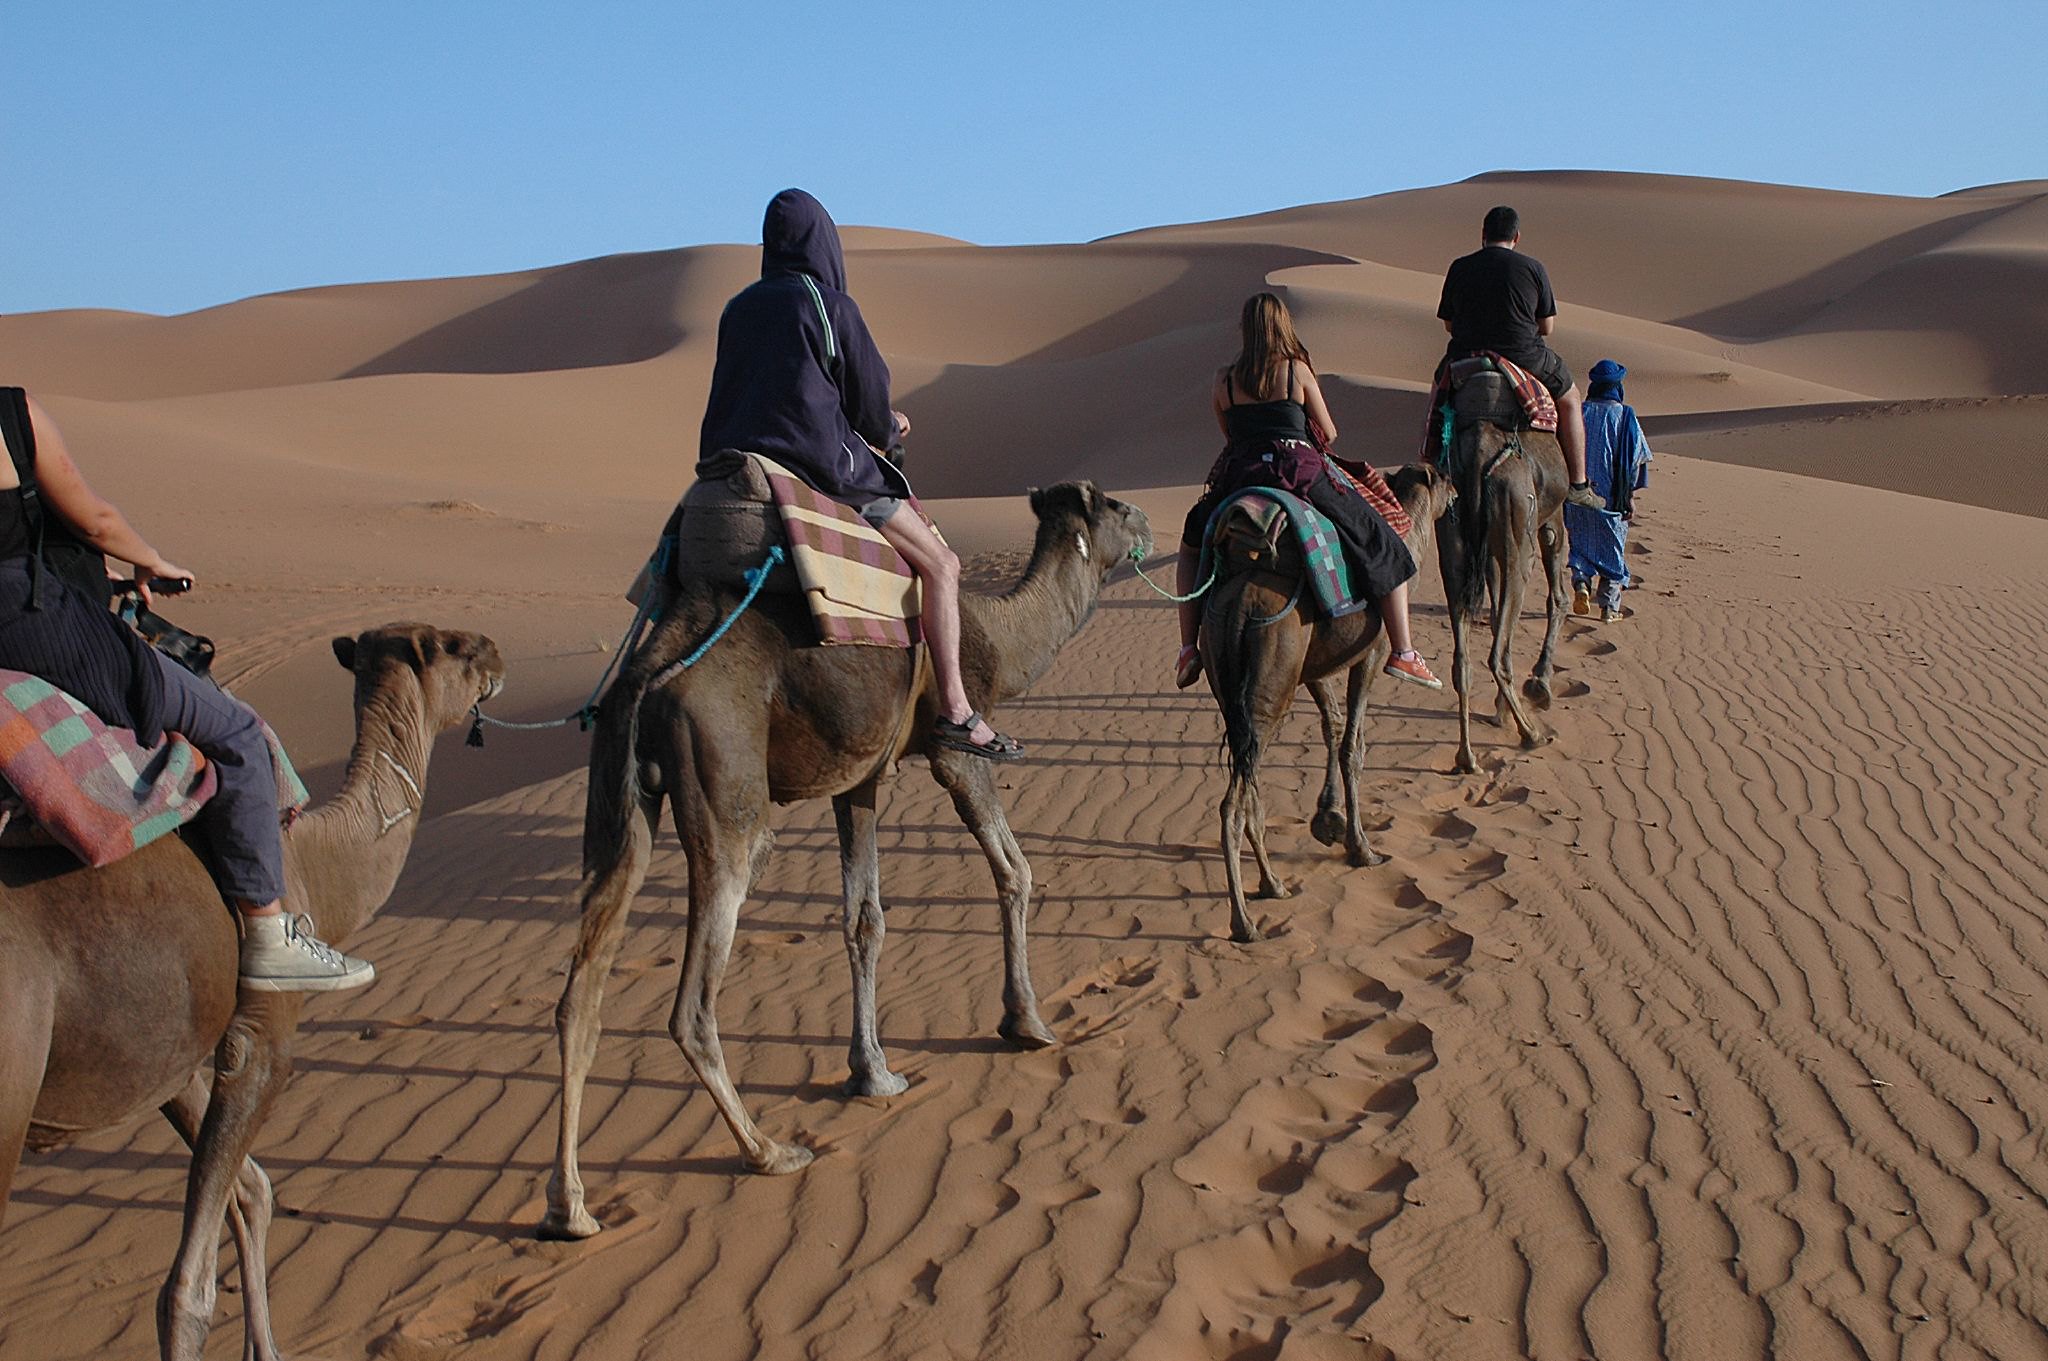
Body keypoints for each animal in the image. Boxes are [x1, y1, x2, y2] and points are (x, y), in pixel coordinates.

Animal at [0, 623, 505, 1361]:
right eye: (454, 646)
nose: (497, 653)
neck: (314, 865)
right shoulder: (261, 1034)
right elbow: (187, 1290)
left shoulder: (177, 1060)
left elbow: (253, 1191)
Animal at [540, 481, 1151, 1237]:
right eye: (1118, 506)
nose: (1151, 525)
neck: (1000, 637)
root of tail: (653, 675)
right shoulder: (953, 750)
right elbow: (1015, 871)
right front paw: (1027, 1023)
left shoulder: (859, 775)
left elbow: (865, 920)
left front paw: (873, 1072)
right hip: (726, 785)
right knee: (693, 998)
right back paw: (768, 1150)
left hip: (618, 794)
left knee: (582, 991)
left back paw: (569, 1206)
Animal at [1198, 465, 1455, 942]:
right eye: (1444, 477)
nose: (1456, 489)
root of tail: (1240, 606)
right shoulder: (1371, 652)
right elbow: (1354, 744)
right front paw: (1362, 847)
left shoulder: (1313, 667)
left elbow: (1332, 725)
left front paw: (1327, 820)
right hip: (1272, 679)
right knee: (1233, 801)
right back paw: (1244, 921)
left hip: (1227, 670)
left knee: (1248, 778)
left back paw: (1273, 884)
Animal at [1434, 377, 1572, 774]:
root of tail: (1480, 451)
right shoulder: (1552, 521)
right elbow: (1558, 599)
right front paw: (1540, 683)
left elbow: (1497, 618)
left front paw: (1499, 711)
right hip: (1518, 520)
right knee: (1496, 653)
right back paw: (1532, 734)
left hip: (1452, 531)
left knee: (1463, 660)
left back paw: (1467, 757)